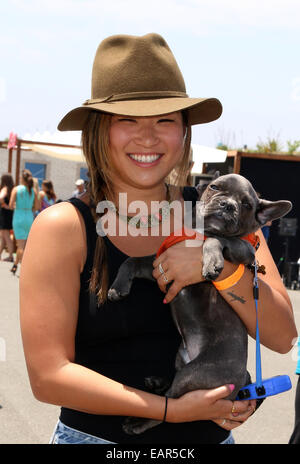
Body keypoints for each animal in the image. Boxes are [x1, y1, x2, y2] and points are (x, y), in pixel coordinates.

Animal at [107, 171, 290, 436]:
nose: (228, 205)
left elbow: (215, 239)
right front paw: (117, 287)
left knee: (171, 402)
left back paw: (138, 422)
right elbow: (132, 260)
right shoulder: (159, 265)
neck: (197, 230)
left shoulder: (245, 250)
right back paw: (158, 382)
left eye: (247, 205)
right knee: (172, 387)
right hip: (182, 362)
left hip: (195, 372)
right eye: (214, 187)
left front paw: (212, 262)